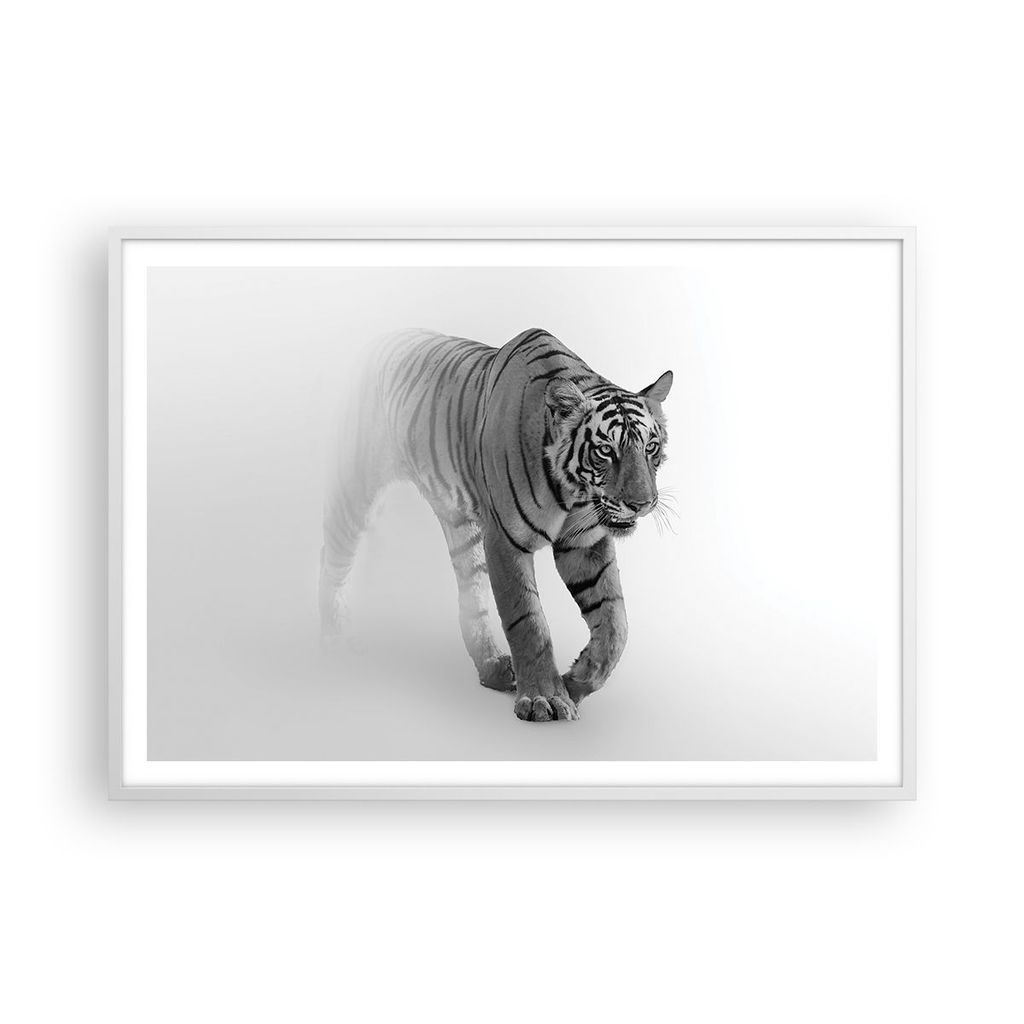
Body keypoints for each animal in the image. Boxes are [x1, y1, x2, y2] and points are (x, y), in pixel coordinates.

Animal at [319, 327, 673, 722]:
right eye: (606, 450)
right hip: (356, 486)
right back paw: (331, 637)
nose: (642, 504)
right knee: (331, 555)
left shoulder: (584, 543)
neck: (573, 492)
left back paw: (492, 668)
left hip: (462, 528)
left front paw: (576, 682)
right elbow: (528, 621)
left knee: (471, 598)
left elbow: (615, 623)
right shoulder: (505, 540)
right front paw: (545, 699)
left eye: (650, 447)